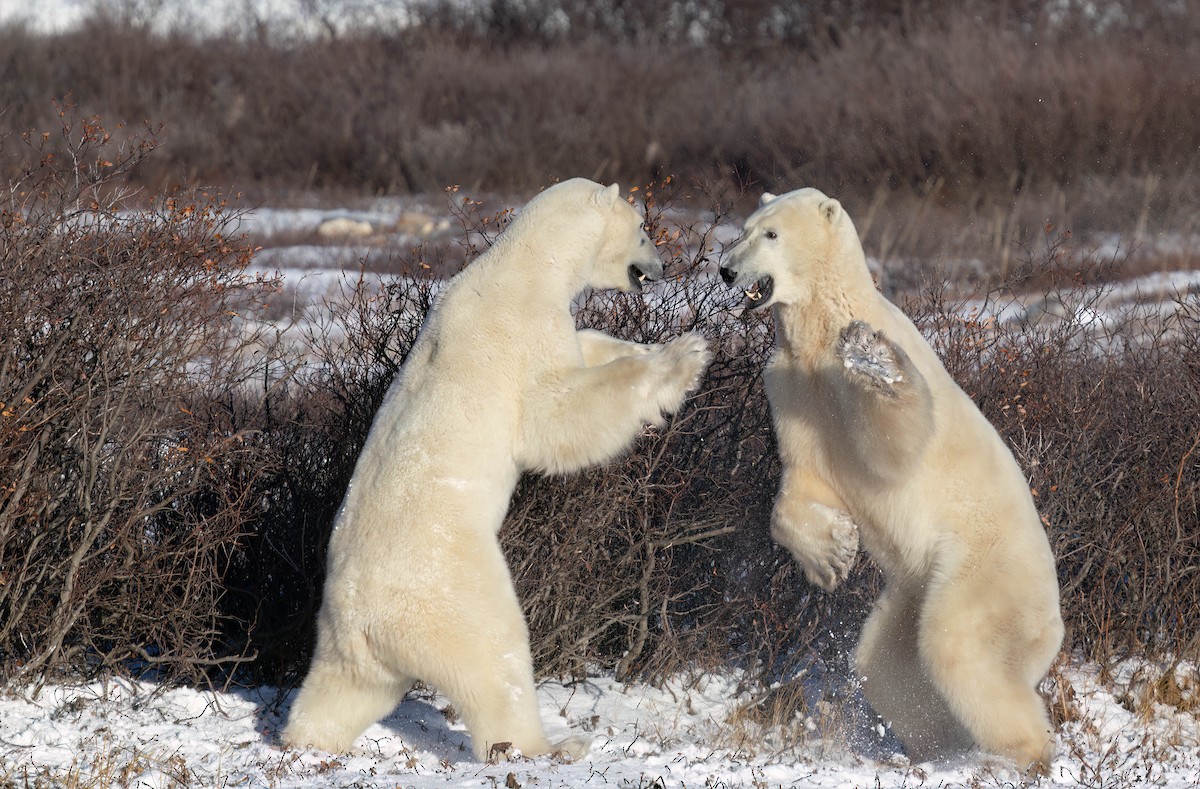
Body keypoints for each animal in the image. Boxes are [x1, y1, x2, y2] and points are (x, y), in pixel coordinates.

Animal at [282, 178, 712, 761]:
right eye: (643, 229)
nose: (662, 266)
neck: (524, 266)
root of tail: (362, 619)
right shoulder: (519, 333)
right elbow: (553, 414)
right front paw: (685, 355)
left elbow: (586, 346)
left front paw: (649, 345)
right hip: (452, 589)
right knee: (497, 660)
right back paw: (551, 745)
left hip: (345, 645)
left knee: (340, 692)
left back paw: (303, 743)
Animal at [718, 188, 1063, 774]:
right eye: (742, 229)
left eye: (771, 233)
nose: (724, 268)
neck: (820, 328)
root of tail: (1055, 621)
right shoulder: (789, 384)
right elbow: (802, 479)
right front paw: (832, 554)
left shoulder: (864, 373)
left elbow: (896, 445)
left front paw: (871, 358)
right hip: (912, 592)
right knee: (889, 667)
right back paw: (935, 748)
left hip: (983, 569)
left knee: (959, 643)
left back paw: (1022, 755)